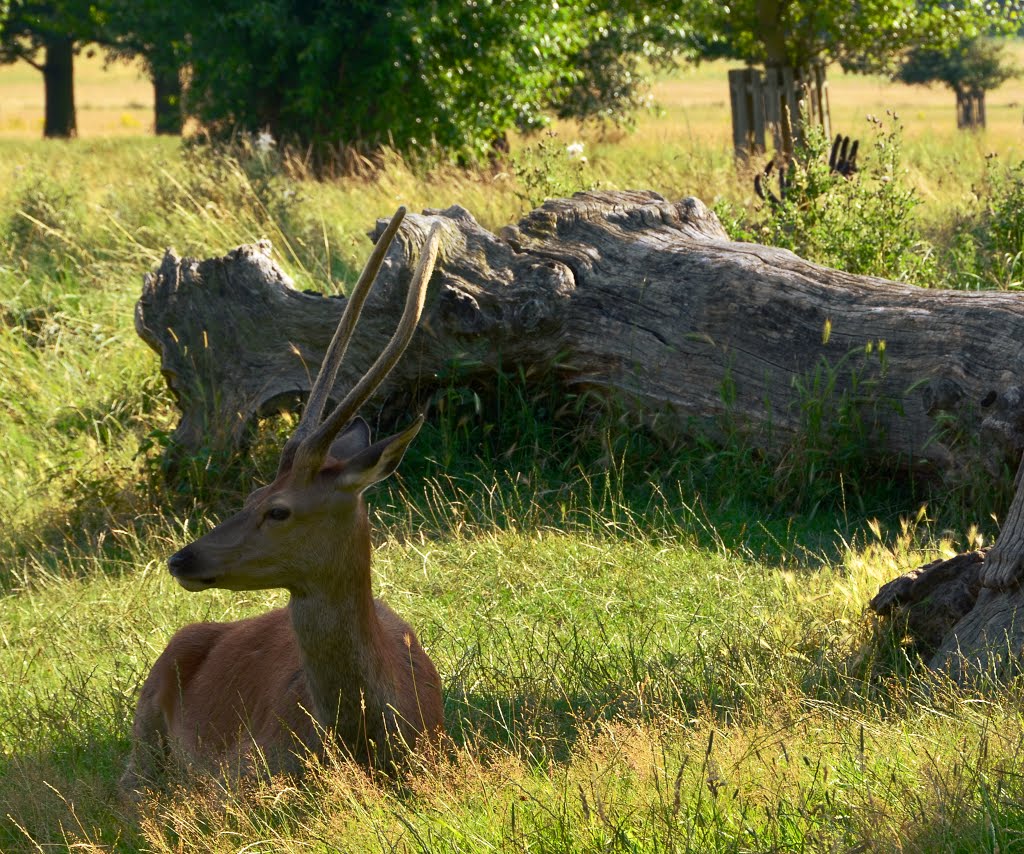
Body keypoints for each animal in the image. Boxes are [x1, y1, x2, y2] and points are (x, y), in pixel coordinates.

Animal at [120, 207, 444, 790]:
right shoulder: (240, 772)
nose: (182, 559)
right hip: (147, 724)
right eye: (252, 492)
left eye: (279, 509)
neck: (365, 740)